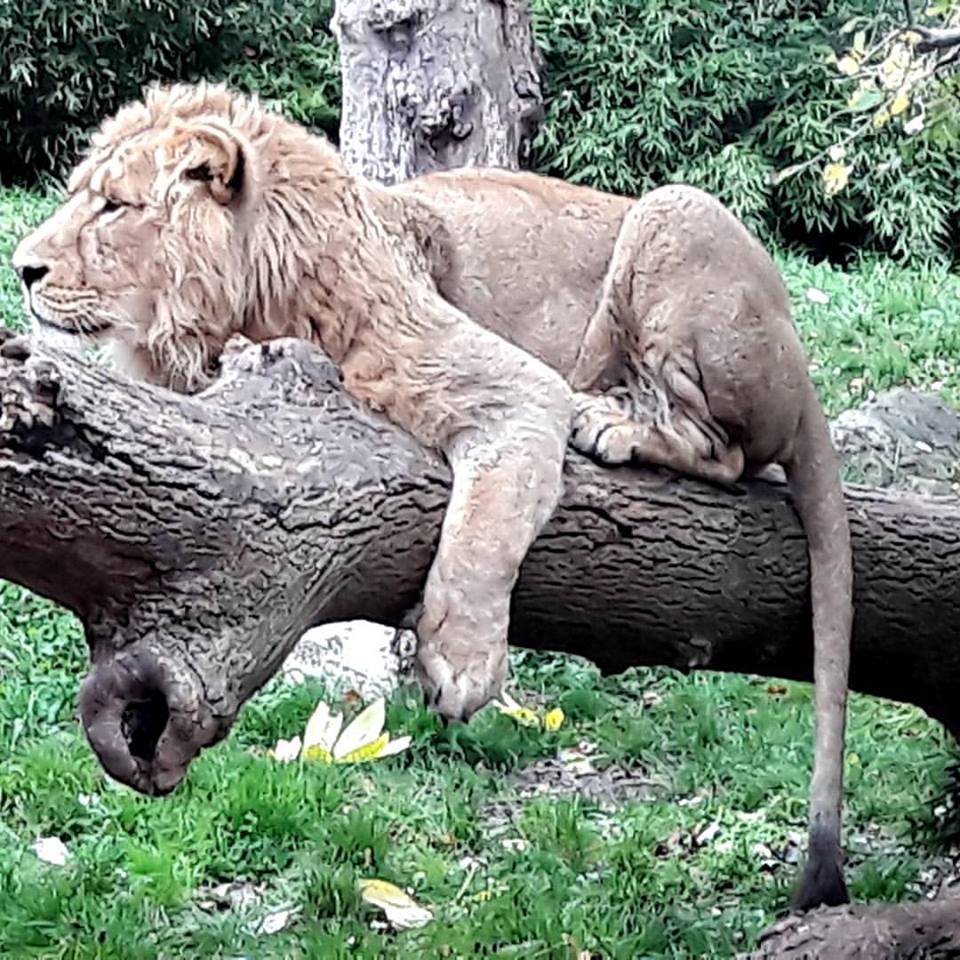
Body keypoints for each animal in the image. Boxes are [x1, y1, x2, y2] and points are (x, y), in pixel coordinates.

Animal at [11, 80, 852, 908]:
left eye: (113, 207)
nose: (21, 269)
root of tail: (799, 360)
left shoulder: (518, 389)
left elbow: (483, 530)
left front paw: (459, 661)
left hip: (673, 213)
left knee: (730, 453)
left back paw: (614, 421)